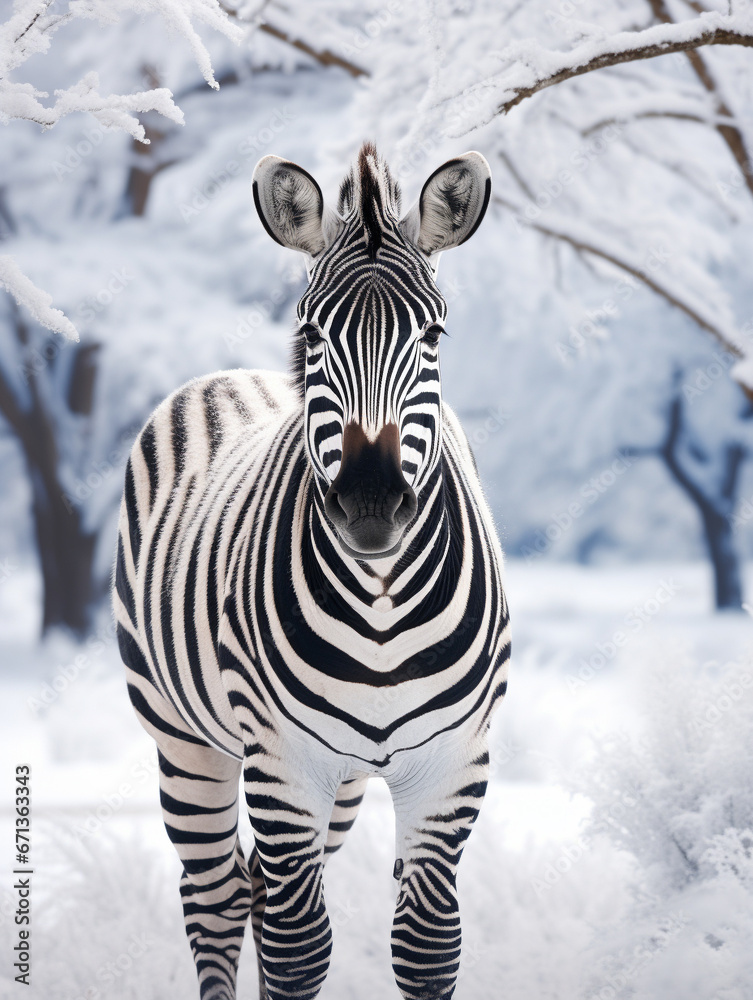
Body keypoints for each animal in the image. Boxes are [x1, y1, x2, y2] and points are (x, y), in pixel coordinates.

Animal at [113, 141, 510, 1000]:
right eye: (314, 334)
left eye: (433, 336)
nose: (370, 504)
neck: (382, 605)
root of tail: (232, 375)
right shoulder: (284, 761)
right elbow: (299, 952)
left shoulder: (452, 764)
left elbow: (426, 947)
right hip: (184, 740)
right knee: (219, 898)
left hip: (347, 782)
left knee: (258, 890)